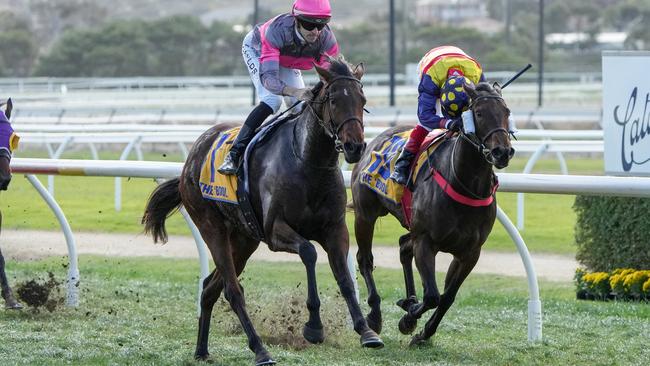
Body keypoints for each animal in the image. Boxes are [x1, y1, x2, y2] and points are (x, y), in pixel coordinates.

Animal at [143, 57, 380, 364]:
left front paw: (366, 331)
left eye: (362, 100)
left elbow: (345, 278)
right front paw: (314, 326)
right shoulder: (275, 230)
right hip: (211, 227)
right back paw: (260, 349)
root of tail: (191, 158)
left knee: (209, 288)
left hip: (244, 240)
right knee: (232, 290)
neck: (307, 162)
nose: (355, 146)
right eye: (334, 100)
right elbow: (309, 252)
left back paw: (202, 350)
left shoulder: (335, 228)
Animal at [350, 81, 512, 344]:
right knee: (365, 259)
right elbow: (433, 295)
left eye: (506, 112)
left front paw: (423, 332)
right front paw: (408, 320)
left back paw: (408, 300)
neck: (463, 182)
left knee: (404, 246)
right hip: (366, 214)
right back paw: (375, 316)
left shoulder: (469, 253)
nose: (502, 152)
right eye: (479, 113)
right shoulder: (426, 242)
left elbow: (447, 297)